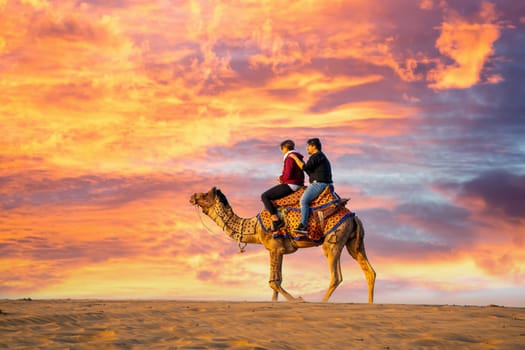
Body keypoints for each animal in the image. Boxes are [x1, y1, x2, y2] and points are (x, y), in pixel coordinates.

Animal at [190, 186, 374, 304]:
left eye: (205, 195)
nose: (192, 196)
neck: (254, 226)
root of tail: (354, 217)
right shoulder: (278, 250)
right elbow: (277, 280)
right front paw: (276, 302)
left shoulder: (275, 247)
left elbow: (274, 281)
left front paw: (298, 299)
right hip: (354, 243)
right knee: (369, 272)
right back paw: (370, 303)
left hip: (333, 241)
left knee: (336, 276)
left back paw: (322, 302)